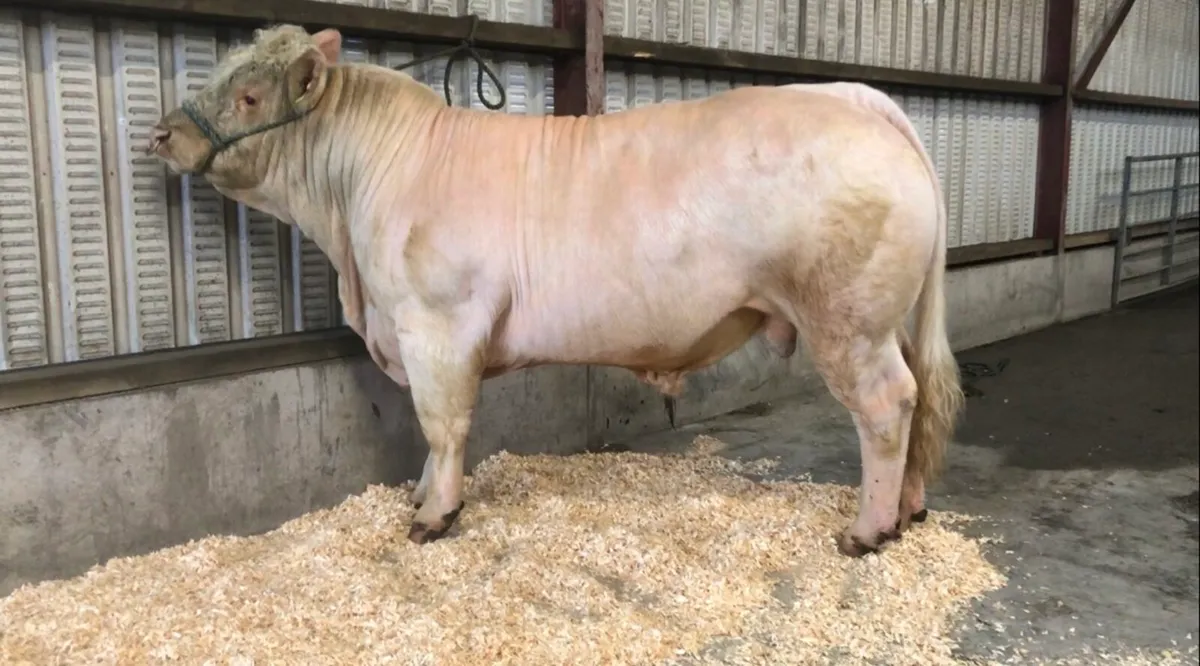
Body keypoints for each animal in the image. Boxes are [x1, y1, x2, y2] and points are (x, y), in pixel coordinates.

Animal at [146, 24, 964, 558]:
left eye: (250, 98)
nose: (161, 135)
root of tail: (857, 99)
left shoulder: (436, 325)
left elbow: (443, 424)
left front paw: (434, 516)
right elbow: (432, 431)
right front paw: (421, 495)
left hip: (846, 319)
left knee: (887, 406)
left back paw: (866, 530)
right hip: (884, 319)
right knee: (920, 395)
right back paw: (908, 510)